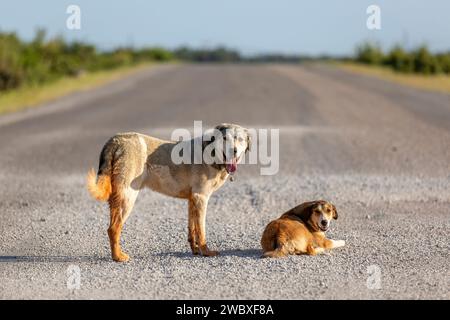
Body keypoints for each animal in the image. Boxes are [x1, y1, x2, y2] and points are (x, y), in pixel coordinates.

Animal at [87, 124, 250, 262]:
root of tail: (115, 140)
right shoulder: (201, 198)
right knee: (114, 228)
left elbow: (192, 229)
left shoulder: (192, 200)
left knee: (111, 226)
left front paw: (195, 250)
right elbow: (201, 230)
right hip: (128, 197)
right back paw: (118, 257)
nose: (234, 150)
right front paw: (206, 252)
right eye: (225, 138)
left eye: (240, 140)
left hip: (117, 196)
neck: (212, 153)